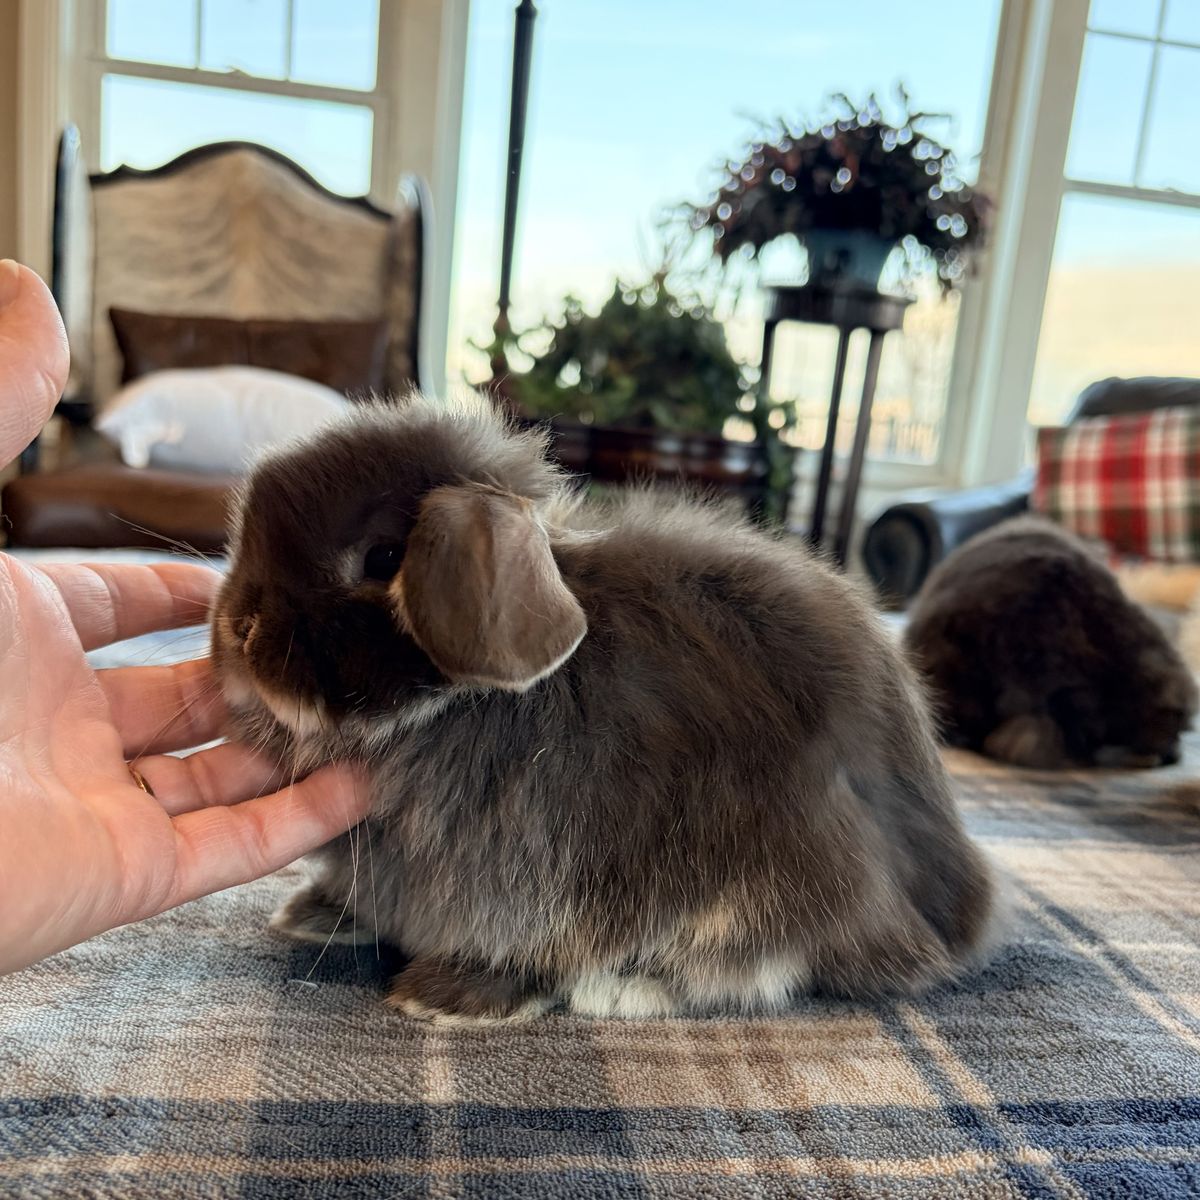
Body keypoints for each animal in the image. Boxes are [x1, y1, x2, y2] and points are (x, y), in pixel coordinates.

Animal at [211, 394, 997, 1023]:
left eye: (381, 560)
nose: (239, 631)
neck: (454, 709)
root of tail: (957, 911)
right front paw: (315, 913)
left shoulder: (543, 879)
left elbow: (527, 945)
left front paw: (446, 997)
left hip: (795, 867)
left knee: (769, 962)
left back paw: (624, 989)